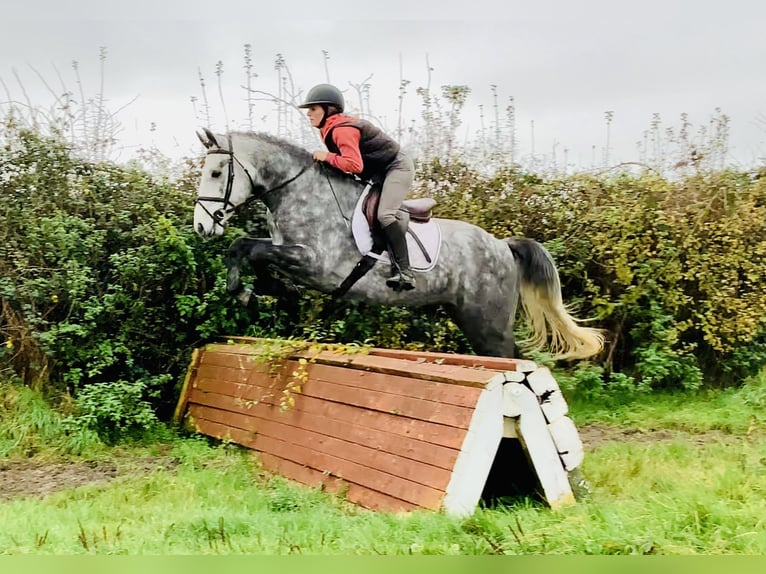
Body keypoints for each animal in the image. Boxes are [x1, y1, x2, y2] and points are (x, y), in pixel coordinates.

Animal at [193, 128, 604, 360]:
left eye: (215, 172)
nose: (200, 226)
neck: (297, 189)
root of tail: (503, 246)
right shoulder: (289, 252)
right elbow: (248, 249)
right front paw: (265, 293)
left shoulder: (315, 262)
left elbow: (250, 249)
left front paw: (248, 293)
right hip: (470, 317)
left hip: (488, 322)